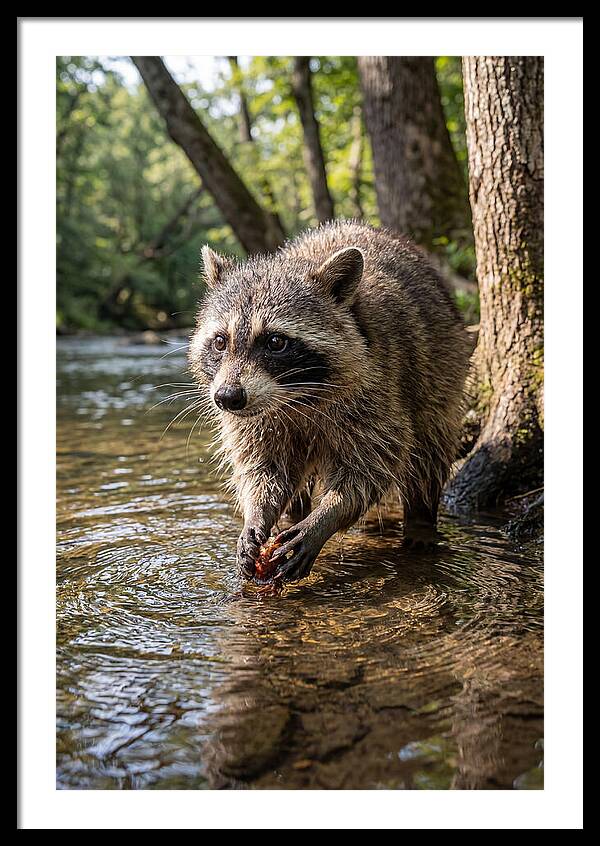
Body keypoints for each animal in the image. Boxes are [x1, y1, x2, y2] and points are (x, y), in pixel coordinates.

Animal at [189, 221, 470, 582]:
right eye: (221, 342)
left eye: (276, 342)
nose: (227, 398)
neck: (295, 396)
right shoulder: (256, 418)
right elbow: (263, 467)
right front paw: (257, 512)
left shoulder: (378, 389)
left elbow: (373, 466)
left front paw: (327, 516)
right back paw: (293, 514)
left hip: (441, 370)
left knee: (428, 453)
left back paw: (421, 520)